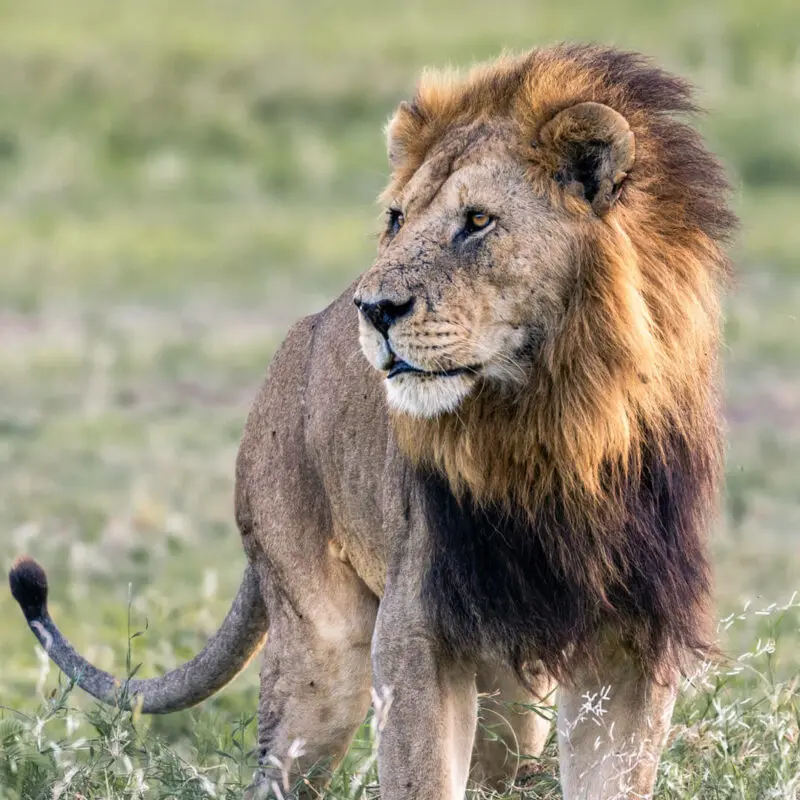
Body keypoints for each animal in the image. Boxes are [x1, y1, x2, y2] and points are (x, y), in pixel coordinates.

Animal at [9, 45, 736, 799]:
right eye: (395, 220)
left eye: (478, 221)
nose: (376, 308)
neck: (551, 422)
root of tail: (299, 337)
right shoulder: (416, 631)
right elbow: (420, 776)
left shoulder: (633, 642)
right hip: (321, 659)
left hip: (511, 697)